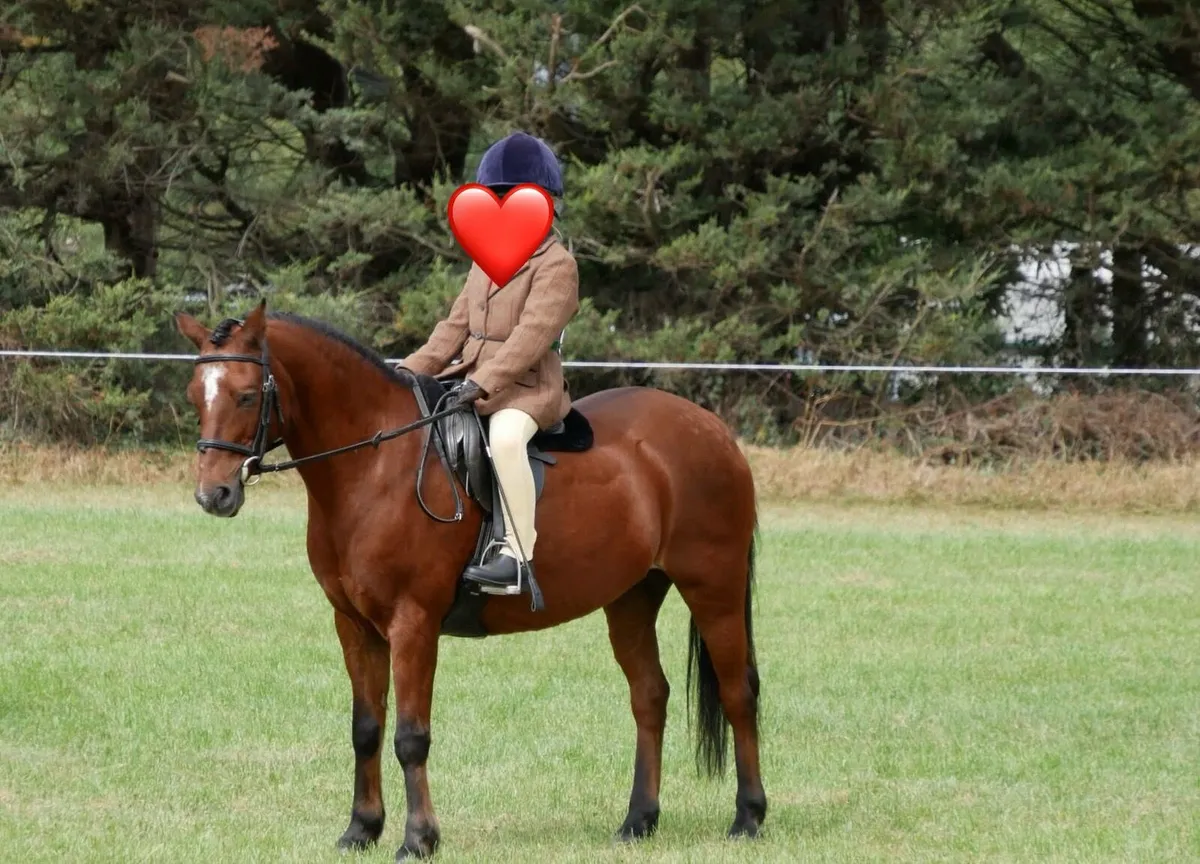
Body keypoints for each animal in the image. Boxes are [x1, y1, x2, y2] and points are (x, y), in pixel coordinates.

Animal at [173, 300, 766, 860]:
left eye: (246, 396)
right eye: (195, 395)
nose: (213, 495)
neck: (375, 466)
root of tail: (712, 429)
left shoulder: (413, 624)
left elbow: (411, 737)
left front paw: (418, 840)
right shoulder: (354, 625)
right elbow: (366, 729)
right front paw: (360, 830)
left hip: (713, 587)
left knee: (738, 692)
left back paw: (748, 817)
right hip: (631, 597)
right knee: (649, 696)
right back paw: (638, 821)